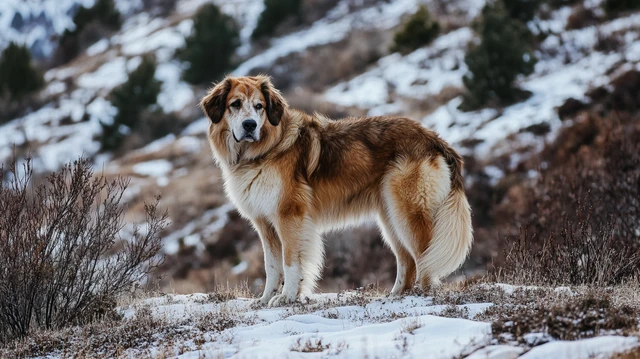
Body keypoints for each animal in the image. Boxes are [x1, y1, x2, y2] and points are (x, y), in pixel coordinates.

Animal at [202, 75, 472, 306]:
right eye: (235, 104)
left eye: (259, 106)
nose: (249, 125)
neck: (264, 150)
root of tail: (434, 138)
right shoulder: (265, 224)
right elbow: (272, 266)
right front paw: (267, 298)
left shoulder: (289, 216)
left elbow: (290, 262)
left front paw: (287, 297)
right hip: (390, 217)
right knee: (407, 262)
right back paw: (394, 296)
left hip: (408, 213)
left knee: (425, 258)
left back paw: (424, 295)